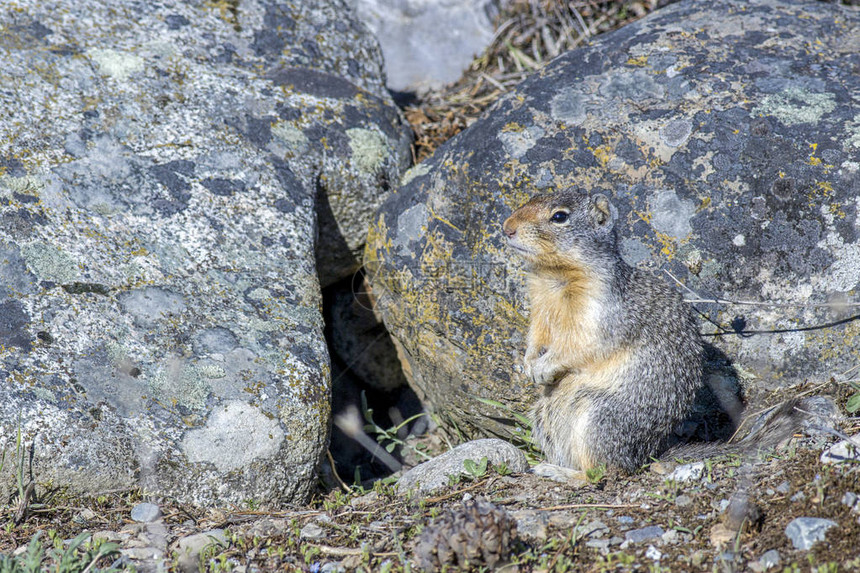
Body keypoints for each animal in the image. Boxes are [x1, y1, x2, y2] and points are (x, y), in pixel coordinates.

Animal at [500, 190, 836, 472]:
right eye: (530, 198)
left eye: (559, 216)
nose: (506, 227)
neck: (554, 277)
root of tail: (645, 455)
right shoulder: (539, 311)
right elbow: (536, 337)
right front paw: (529, 364)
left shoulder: (600, 314)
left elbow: (581, 346)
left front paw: (544, 367)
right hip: (545, 418)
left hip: (598, 419)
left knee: (605, 472)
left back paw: (562, 474)